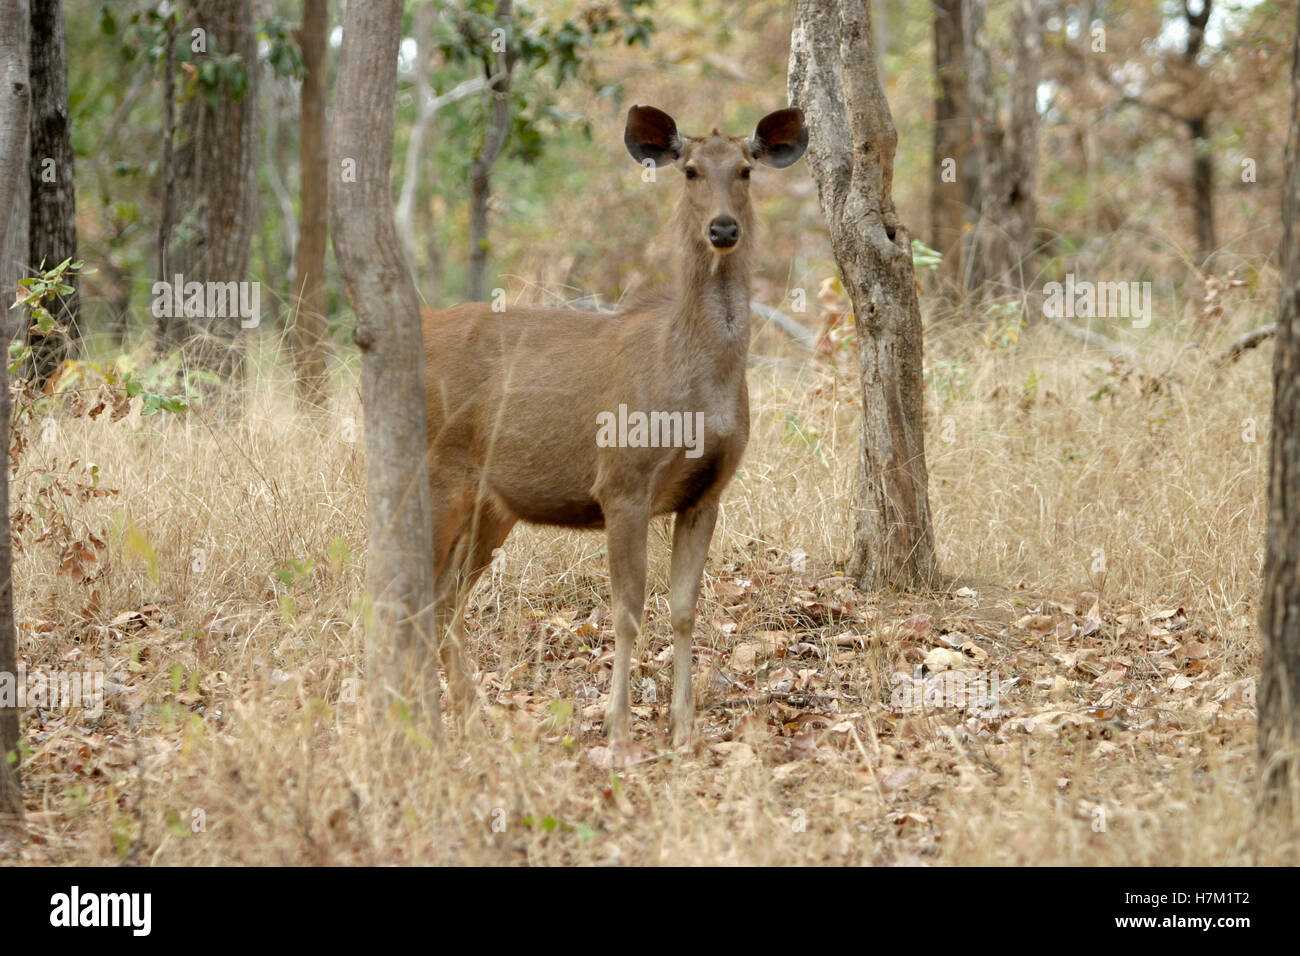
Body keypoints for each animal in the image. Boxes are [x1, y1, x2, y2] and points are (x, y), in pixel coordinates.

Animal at [421, 104, 800, 749]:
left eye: (747, 170)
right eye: (690, 171)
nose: (723, 229)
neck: (695, 384)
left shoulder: (706, 493)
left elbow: (684, 609)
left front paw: (683, 729)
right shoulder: (623, 480)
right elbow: (626, 611)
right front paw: (619, 730)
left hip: (492, 506)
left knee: (445, 599)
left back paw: (471, 719)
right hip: (432, 474)